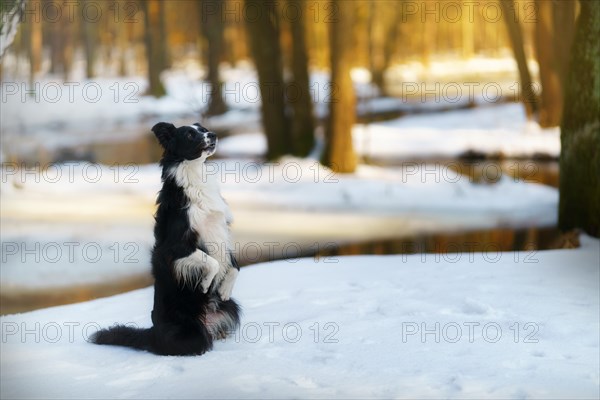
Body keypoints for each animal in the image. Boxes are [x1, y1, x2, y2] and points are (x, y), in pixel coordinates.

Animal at [91, 122, 239, 356]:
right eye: (190, 134)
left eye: (203, 128)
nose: (213, 135)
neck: (194, 173)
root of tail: (152, 334)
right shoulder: (174, 247)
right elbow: (212, 262)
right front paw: (206, 283)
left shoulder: (222, 233)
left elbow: (233, 266)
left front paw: (224, 290)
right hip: (191, 331)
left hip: (232, 309)